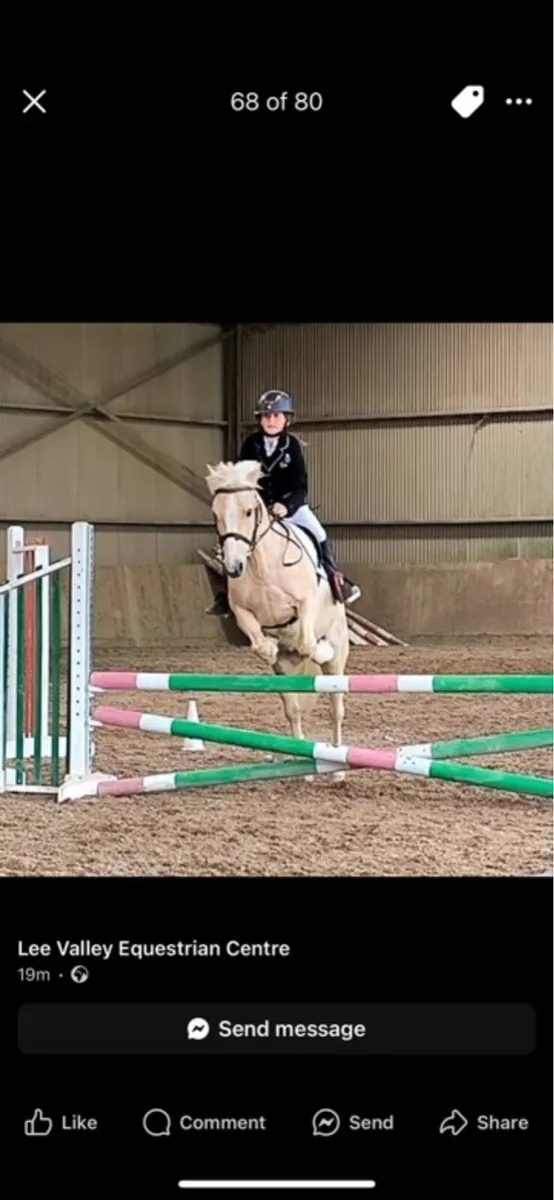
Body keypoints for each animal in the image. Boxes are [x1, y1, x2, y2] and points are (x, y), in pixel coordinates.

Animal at [205, 459, 350, 754]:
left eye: (249, 511)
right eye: (216, 514)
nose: (233, 567)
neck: (262, 565)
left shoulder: (305, 603)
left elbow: (307, 643)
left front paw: (318, 649)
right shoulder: (243, 612)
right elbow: (260, 645)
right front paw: (271, 647)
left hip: (338, 656)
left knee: (335, 708)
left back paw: (337, 756)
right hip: (287, 671)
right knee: (293, 710)